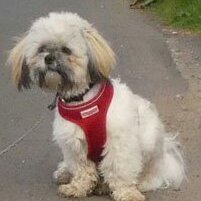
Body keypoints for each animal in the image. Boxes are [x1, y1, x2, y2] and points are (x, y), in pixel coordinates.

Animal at [8, 12, 185, 201]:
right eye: (41, 49)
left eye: (66, 50)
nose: (48, 58)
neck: (82, 100)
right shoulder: (74, 144)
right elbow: (82, 170)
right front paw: (77, 187)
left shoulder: (119, 142)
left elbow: (120, 170)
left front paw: (127, 192)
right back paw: (67, 173)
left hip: (149, 140)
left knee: (150, 172)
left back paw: (136, 183)